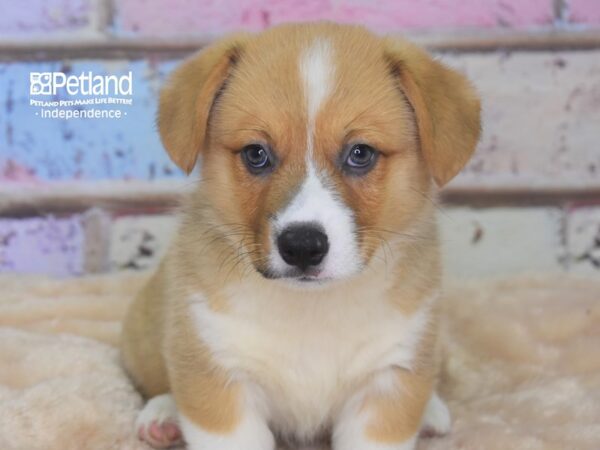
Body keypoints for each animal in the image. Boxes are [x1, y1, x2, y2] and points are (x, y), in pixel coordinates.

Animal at [119, 21, 480, 450]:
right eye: (256, 154)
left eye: (360, 153)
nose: (303, 247)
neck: (311, 308)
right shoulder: (221, 382)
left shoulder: (385, 386)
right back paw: (161, 414)